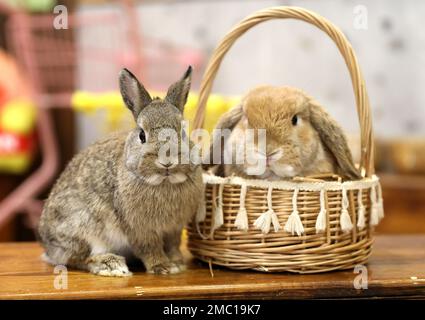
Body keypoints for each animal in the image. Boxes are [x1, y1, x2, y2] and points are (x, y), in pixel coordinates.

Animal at [37, 66, 203, 276]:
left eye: (182, 132)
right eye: (142, 135)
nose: (167, 161)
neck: (164, 182)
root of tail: (48, 248)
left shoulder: (174, 229)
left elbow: (173, 245)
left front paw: (177, 264)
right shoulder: (139, 229)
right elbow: (149, 248)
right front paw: (162, 267)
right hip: (82, 227)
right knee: (79, 258)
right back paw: (111, 265)